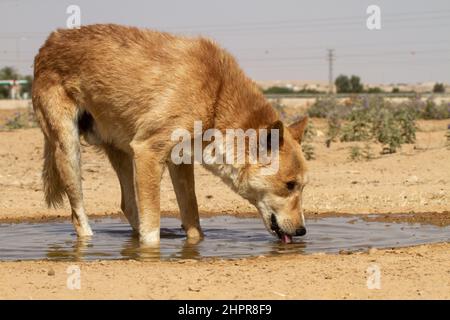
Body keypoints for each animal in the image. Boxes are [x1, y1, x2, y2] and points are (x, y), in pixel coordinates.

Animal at [32, 23, 310, 245]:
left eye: (303, 186)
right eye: (289, 185)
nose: (302, 231)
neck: (215, 97)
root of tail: (48, 43)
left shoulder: (180, 160)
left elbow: (192, 216)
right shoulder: (148, 151)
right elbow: (152, 227)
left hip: (122, 151)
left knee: (128, 205)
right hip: (69, 149)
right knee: (78, 213)